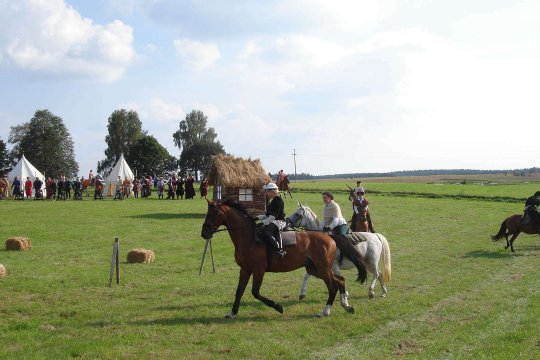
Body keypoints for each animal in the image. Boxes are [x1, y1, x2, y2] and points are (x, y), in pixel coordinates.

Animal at [200, 200, 370, 318]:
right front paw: (232, 312)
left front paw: (278, 307)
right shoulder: (245, 270)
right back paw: (346, 306)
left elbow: (255, 292)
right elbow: (239, 291)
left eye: (211, 214)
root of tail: (329, 237)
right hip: (314, 268)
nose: (204, 233)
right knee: (340, 280)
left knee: (333, 287)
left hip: (322, 268)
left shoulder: (258, 270)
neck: (248, 238)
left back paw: (325, 311)